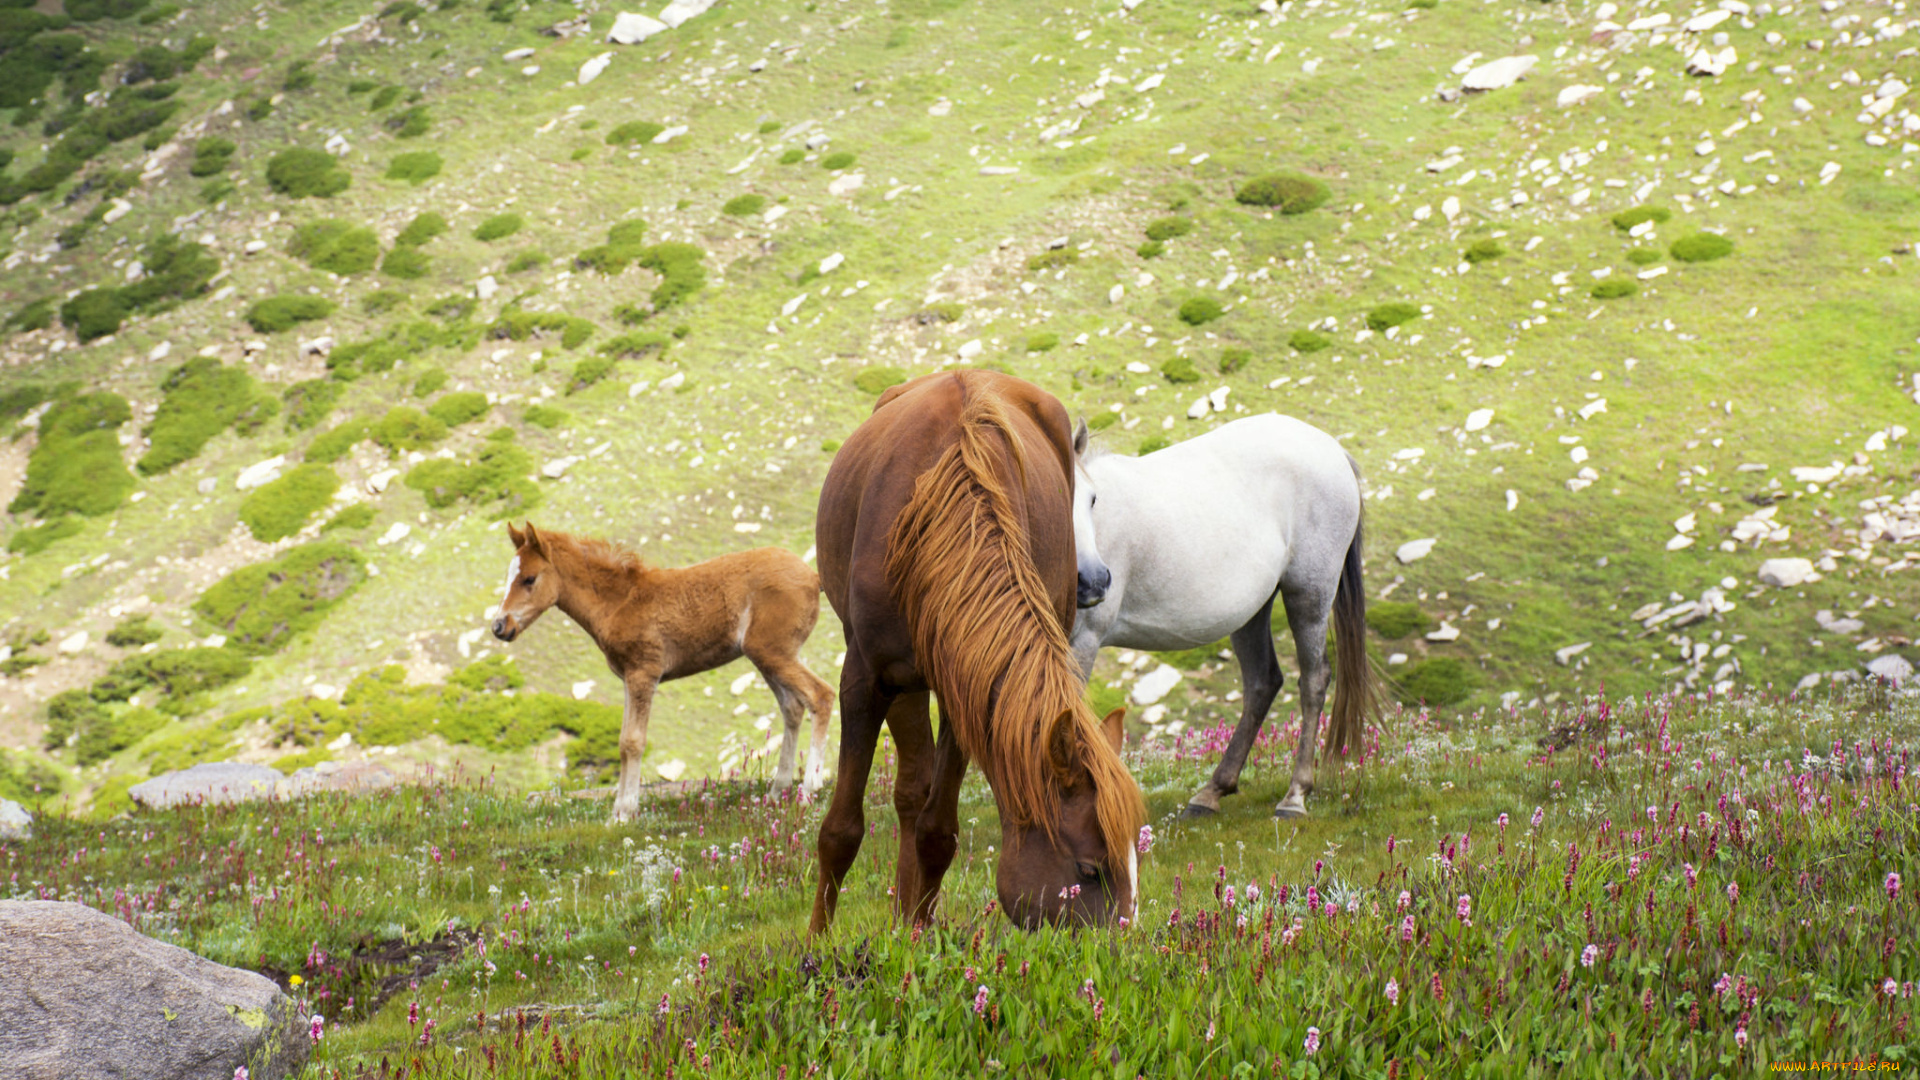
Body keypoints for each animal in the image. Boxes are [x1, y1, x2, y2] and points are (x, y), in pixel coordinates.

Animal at [487, 522, 833, 814]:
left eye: (529, 579)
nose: (499, 626)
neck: (619, 602)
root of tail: (813, 577)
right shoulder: (628, 679)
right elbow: (623, 742)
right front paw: (617, 812)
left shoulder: (644, 673)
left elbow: (634, 742)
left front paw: (626, 812)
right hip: (766, 656)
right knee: (793, 707)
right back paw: (777, 792)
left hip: (773, 652)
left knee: (821, 695)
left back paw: (809, 788)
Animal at [806, 365, 1136, 930]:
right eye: (1090, 870)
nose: (1128, 945)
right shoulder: (865, 680)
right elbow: (841, 831)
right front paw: (817, 943)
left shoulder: (970, 686)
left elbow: (937, 831)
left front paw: (916, 933)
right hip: (902, 683)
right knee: (908, 792)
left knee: (915, 798)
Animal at [1067, 413, 1382, 814]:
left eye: (1092, 499)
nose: (1092, 583)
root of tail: (1332, 448)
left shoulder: (1083, 641)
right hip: (1252, 613)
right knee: (1263, 682)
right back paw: (1213, 791)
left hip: (1310, 594)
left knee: (1314, 680)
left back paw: (1294, 796)